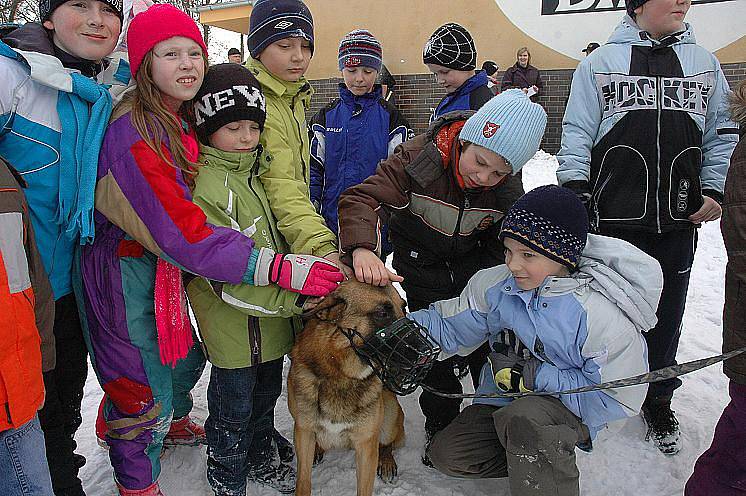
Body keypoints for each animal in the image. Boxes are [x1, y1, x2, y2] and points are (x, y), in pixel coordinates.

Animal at [288, 280, 406, 496]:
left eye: (404, 307)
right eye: (382, 313)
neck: (342, 375)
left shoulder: (366, 445)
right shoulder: (303, 431)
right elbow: (303, 481)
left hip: (390, 414)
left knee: (387, 444)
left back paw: (386, 462)